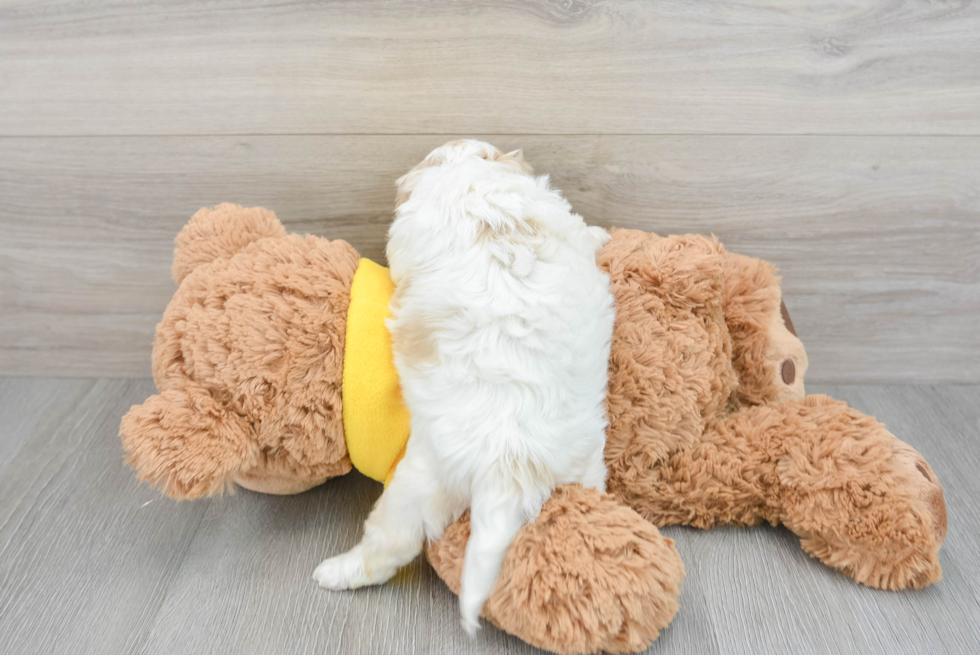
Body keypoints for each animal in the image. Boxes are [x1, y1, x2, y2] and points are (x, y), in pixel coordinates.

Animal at [314, 140, 612, 636]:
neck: (472, 176)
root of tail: (512, 468)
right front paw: (602, 235)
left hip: (417, 484)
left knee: (388, 547)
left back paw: (335, 572)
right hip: (583, 467)